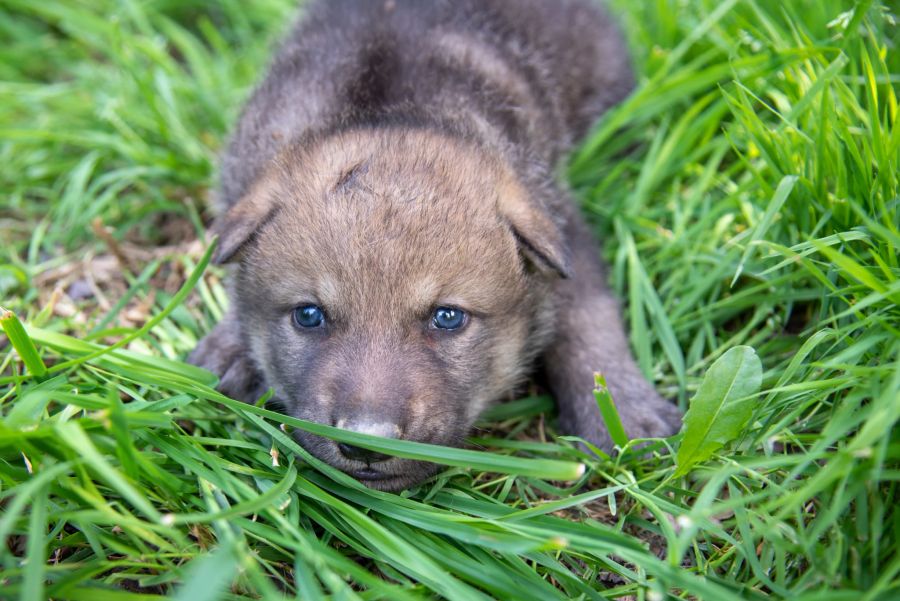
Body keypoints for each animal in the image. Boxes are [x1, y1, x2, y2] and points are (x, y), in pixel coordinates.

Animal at [192, 0, 684, 488]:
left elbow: (588, 321)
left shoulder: (567, 231)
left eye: (448, 317)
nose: (366, 442)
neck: (391, 114)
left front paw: (623, 414)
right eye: (308, 315)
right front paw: (227, 350)